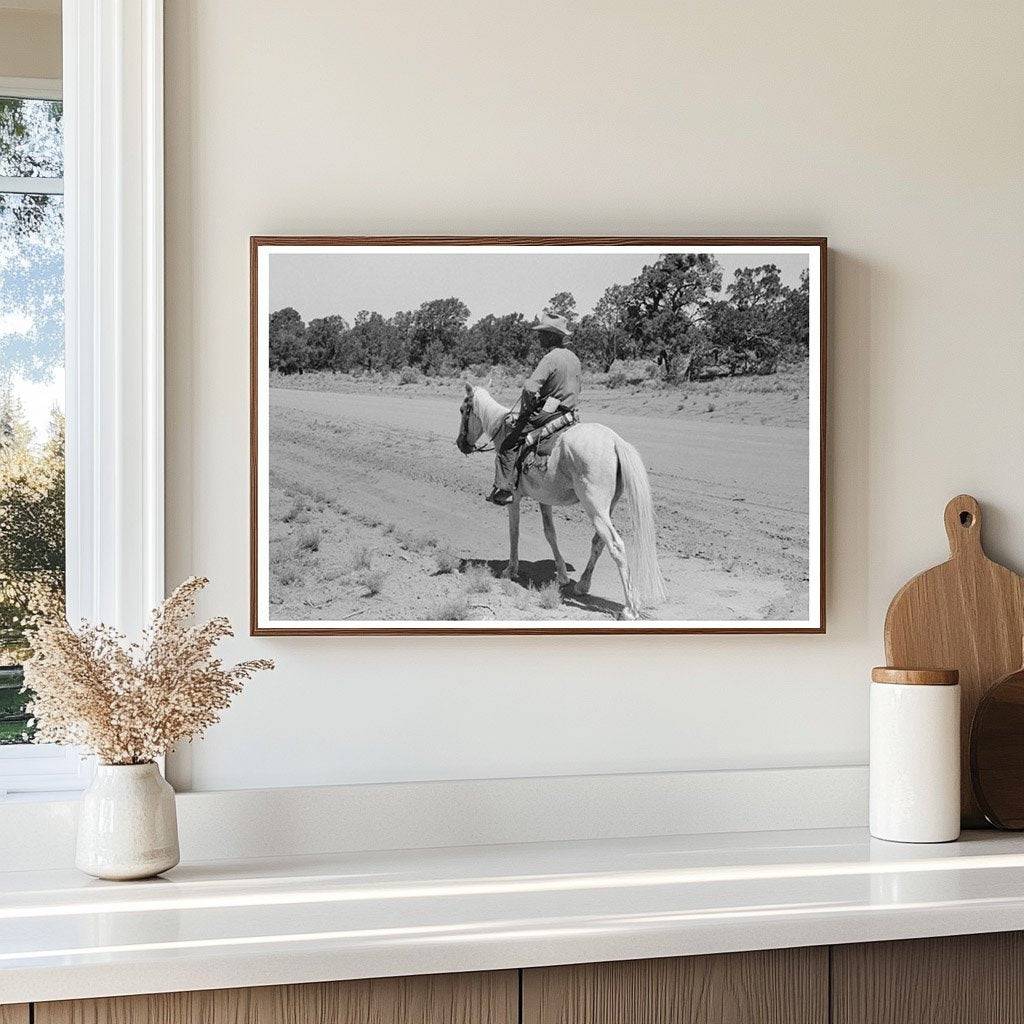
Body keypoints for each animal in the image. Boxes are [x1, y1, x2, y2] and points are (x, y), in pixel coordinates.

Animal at [454, 382, 663, 614]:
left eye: (463, 410)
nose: (461, 443)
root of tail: (615, 441)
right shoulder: (544, 499)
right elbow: (550, 533)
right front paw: (562, 575)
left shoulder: (514, 498)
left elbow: (514, 532)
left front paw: (510, 569)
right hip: (607, 508)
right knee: (598, 542)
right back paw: (582, 585)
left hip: (595, 507)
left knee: (615, 545)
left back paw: (630, 608)